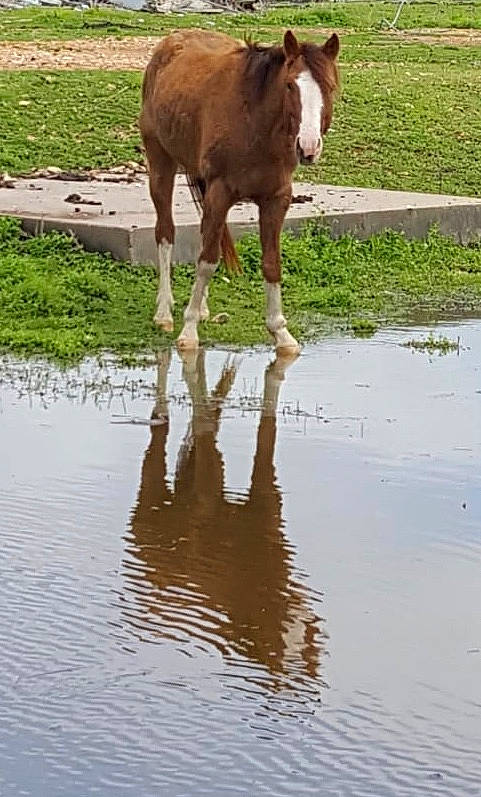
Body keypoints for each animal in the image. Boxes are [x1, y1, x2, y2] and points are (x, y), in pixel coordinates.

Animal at [140, 28, 339, 353]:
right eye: (289, 85)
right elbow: (207, 261)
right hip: (161, 165)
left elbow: (270, 263)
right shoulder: (220, 193)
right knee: (166, 233)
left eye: (330, 87)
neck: (255, 125)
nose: (308, 147)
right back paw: (164, 311)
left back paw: (202, 307)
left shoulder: (276, 200)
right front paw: (189, 330)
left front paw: (280, 332)